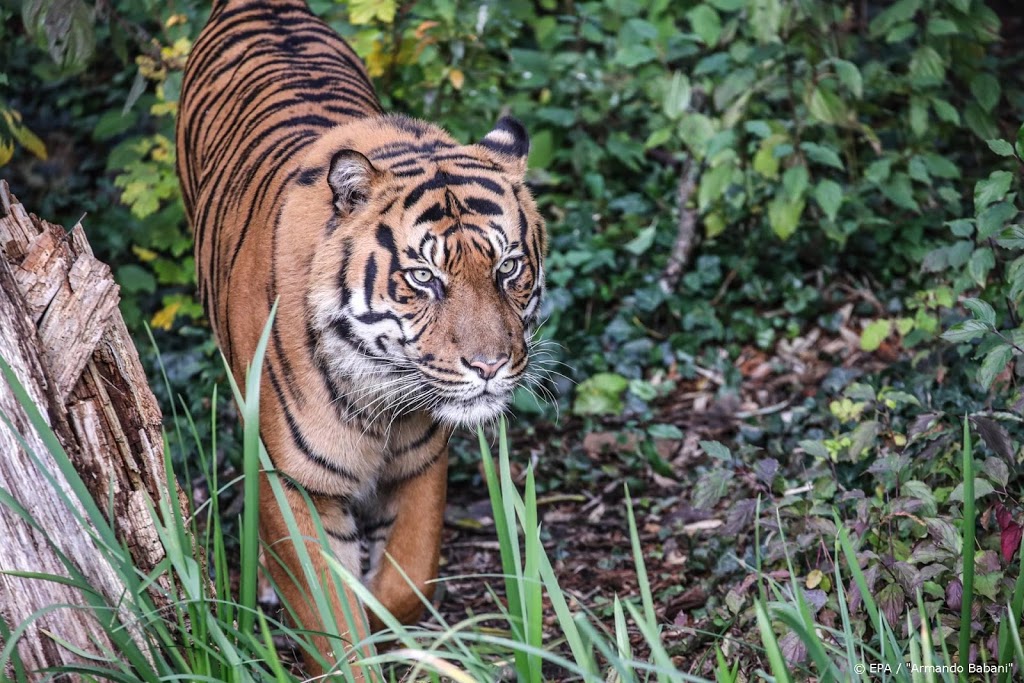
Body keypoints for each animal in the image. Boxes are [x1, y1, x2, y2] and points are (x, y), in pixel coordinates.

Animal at [175, 0, 544, 675]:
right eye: (424, 278)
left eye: (507, 268)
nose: (489, 366)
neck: (380, 392)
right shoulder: (296, 482)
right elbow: (332, 624)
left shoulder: (421, 459)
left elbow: (408, 582)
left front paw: (388, 627)